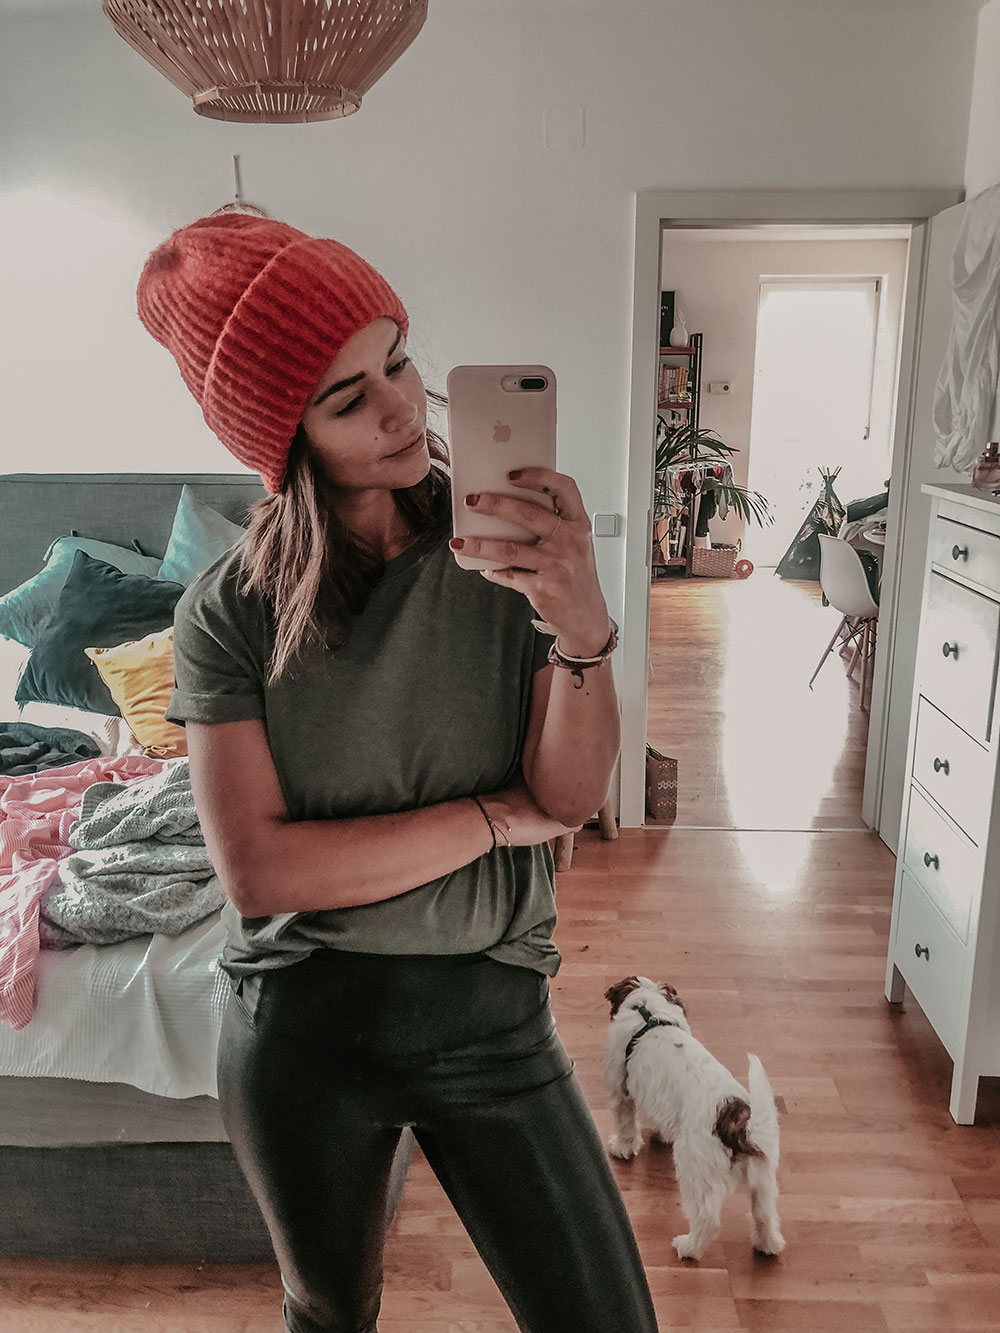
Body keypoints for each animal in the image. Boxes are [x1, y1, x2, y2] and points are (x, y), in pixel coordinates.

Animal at [603, 975, 785, 1262]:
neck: (650, 1013)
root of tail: (740, 1127)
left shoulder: (620, 1089)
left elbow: (626, 1124)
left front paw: (621, 1148)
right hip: (763, 1177)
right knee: (765, 1214)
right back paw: (767, 1244)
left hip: (696, 1170)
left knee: (707, 1219)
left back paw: (688, 1247)